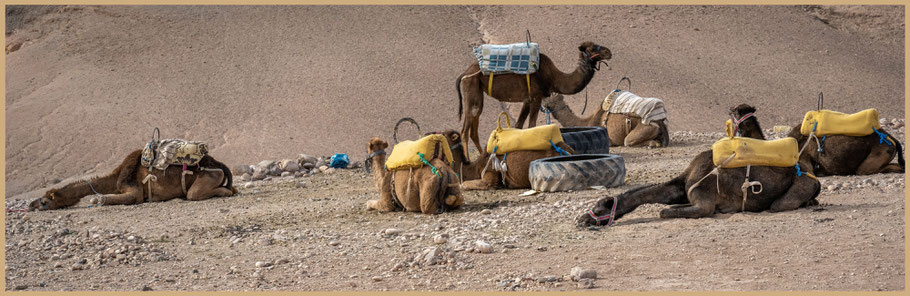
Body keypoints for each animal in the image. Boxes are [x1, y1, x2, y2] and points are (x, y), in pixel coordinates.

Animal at [28, 150, 237, 210]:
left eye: (45, 200)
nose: (31, 205)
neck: (115, 177)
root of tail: (220, 165)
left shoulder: (134, 192)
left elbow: (106, 198)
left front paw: (96, 199)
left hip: (208, 176)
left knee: (195, 193)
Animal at [456, 41, 612, 160]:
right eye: (591, 48)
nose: (608, 52)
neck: (553, 77)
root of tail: (464, 73)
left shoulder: (528, 99)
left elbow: (519, 126)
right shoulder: (536, 97)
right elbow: (532, 125)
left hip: (477, 93)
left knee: (474, 128)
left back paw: (481, 157)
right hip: (471, 86)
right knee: (465, 130)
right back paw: (468, 162)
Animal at [540, 93, 668, 147]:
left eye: (549, 97)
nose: (542, 101)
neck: (588, 121)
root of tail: (660, 121)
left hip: (646, 127)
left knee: (627, 141)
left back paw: (653, 144)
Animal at [576, 104, 828, 227]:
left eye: (600, 207)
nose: (581, 220)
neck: (687, 178)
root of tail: (812, 176)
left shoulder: (703, 202)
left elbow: (664, 211)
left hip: (797, 187)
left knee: (780, 204)